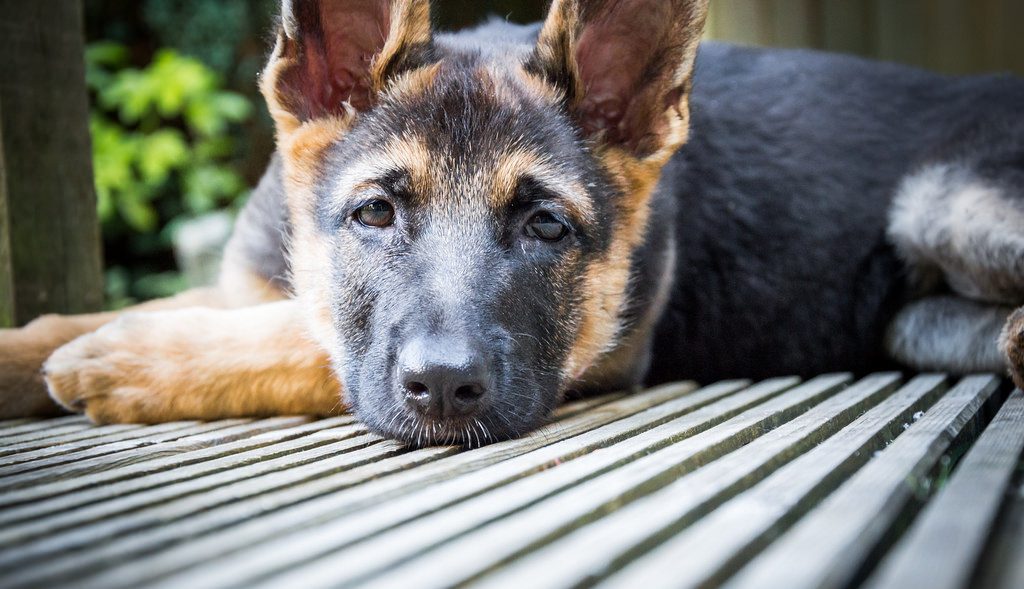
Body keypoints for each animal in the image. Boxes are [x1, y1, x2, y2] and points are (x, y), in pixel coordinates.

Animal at [2, 0, 1024, 446]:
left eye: (546, 228)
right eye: (375, 212)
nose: (449, 391)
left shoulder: (605, 354)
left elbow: (298, 342)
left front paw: (132, 361)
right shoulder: (249, 285)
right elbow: (101, 317)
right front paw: (39, 347)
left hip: (945, 203)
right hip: (914, 314)